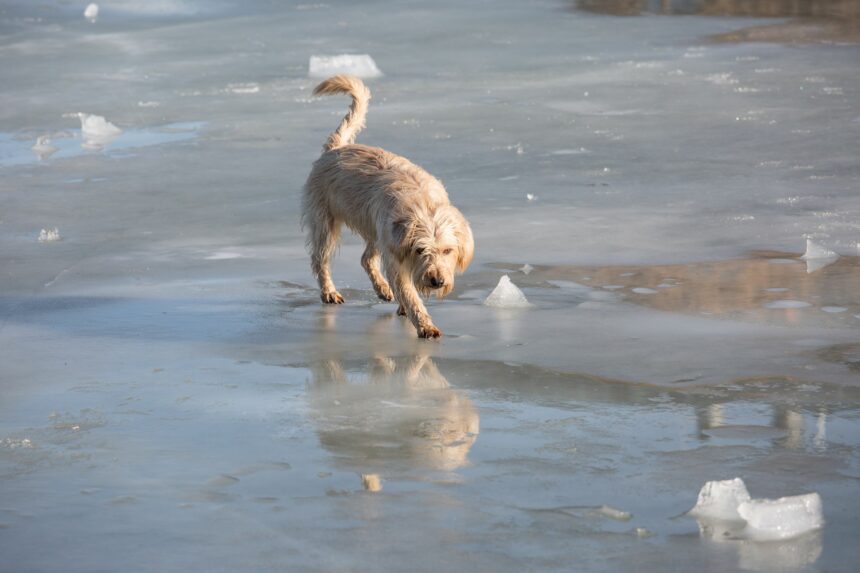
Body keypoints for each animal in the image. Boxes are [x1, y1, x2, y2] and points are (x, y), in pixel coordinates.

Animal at [304, 73, 478, 338]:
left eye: (448, 250)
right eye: (420, 250)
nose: (437, 281)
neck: (424, 204)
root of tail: (335, 148)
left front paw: (405, 307)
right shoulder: (397, 258)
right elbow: (409, 292)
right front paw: (424, 325)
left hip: (375, 231)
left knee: (366, 259)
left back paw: (383, 289)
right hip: (325, 223)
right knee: (320, 259)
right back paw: (329, 292)